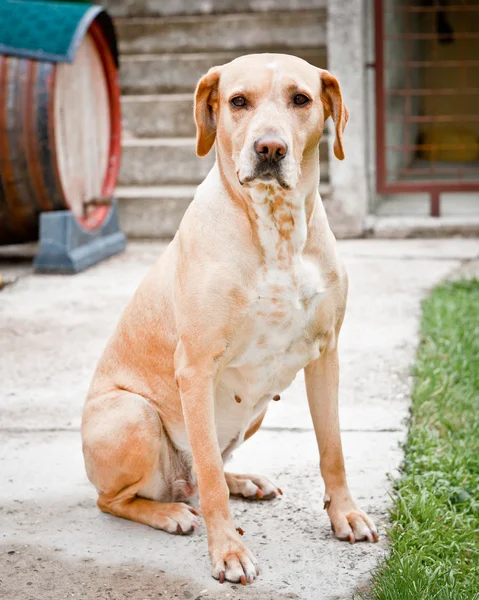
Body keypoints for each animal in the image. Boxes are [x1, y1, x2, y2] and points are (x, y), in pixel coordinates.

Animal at [81, 52, 378, 584]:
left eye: (301, 99)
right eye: (238, 101)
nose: (270, 148)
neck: (276, 227)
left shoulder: (326, 354)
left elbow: (333, 449)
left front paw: (345, 514)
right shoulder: (196, 367)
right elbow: (211, 483)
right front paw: (228, 551)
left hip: (255, 413)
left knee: (208, 471)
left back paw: (243, 480)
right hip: (130, 414)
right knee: (121, 497)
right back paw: (169, 512)